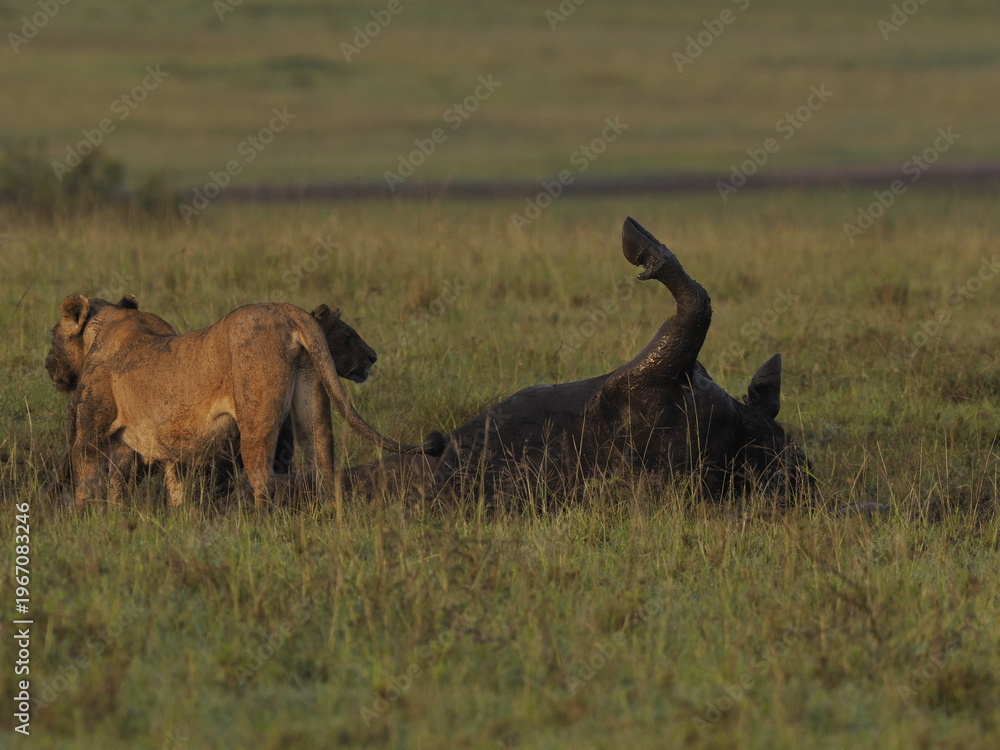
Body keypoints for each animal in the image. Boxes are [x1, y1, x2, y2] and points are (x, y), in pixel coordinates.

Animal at [46, 296, 441, 507]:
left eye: (50, 336)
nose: (48, 365)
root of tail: (287, 311)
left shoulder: (92, 435)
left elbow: (87, 481)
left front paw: (85, 521)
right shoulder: (147, 445)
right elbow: (152, 487)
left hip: (256, 417)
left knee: (263, 478)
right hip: (312, 402)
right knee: (323, 467)